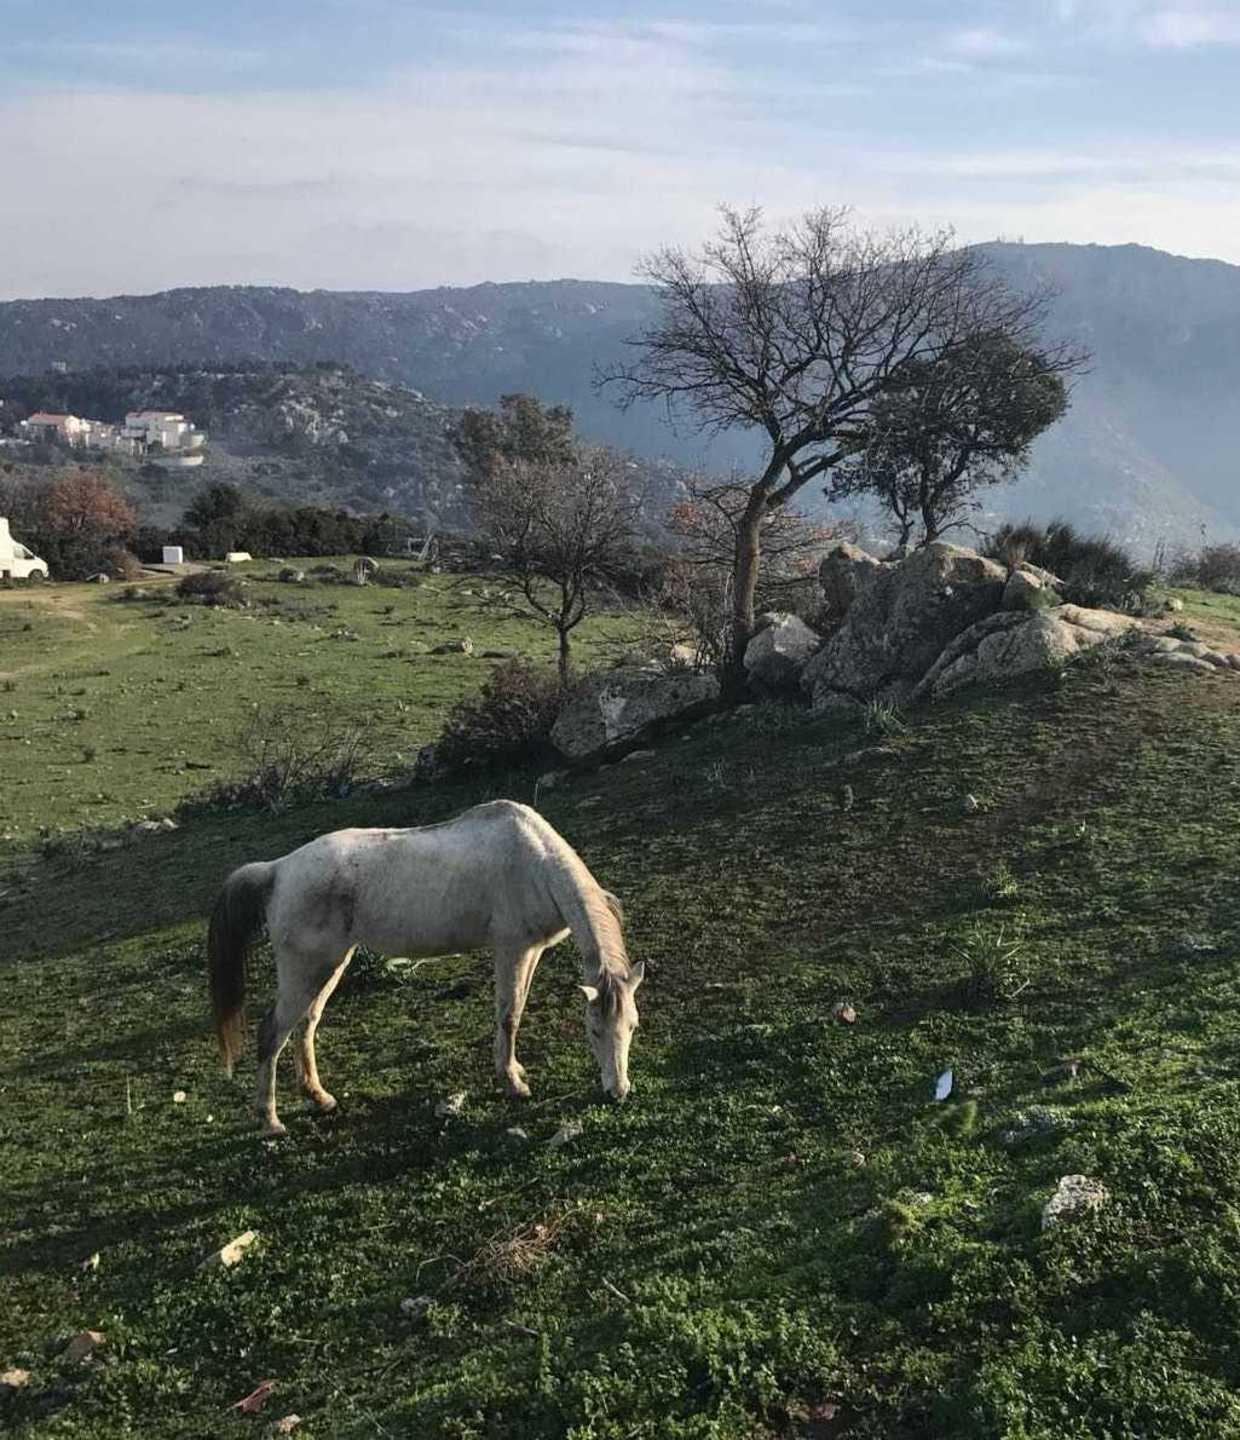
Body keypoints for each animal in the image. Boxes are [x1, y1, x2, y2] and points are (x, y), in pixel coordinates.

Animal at [207, 799, 644, 1136]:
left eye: (633, 1026)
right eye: (593, 1029)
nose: (618, 1092)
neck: (533, 862)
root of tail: (278, 870)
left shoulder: (532, 951)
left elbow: (515, 1013)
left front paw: (514, 1069)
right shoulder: (512, 950)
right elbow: (509, 1016)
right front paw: (512, 1082)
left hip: (328, 966)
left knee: (307, 1025)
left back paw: (320, 1098)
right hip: (305, 971)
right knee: (272, 1034)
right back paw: (270, 1121)